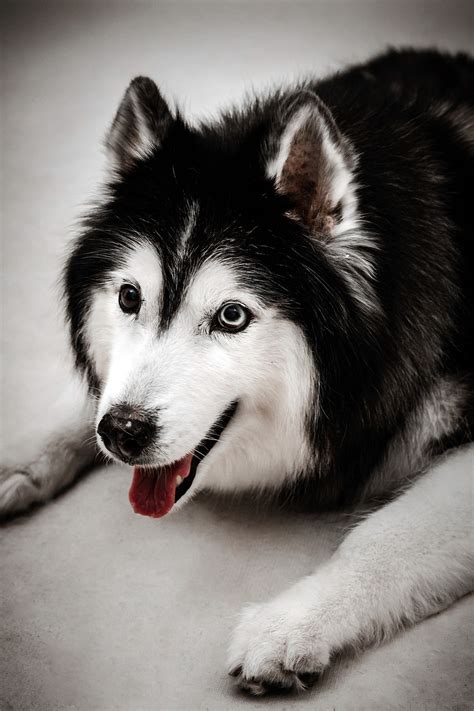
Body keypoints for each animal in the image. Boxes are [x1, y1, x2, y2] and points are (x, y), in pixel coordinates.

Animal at [0, 48, 474, 696]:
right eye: (129, 297)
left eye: (231, 316)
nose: (123, 432)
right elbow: (87, 403)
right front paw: (21, 456)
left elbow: (386, 535)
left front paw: (293, 622)